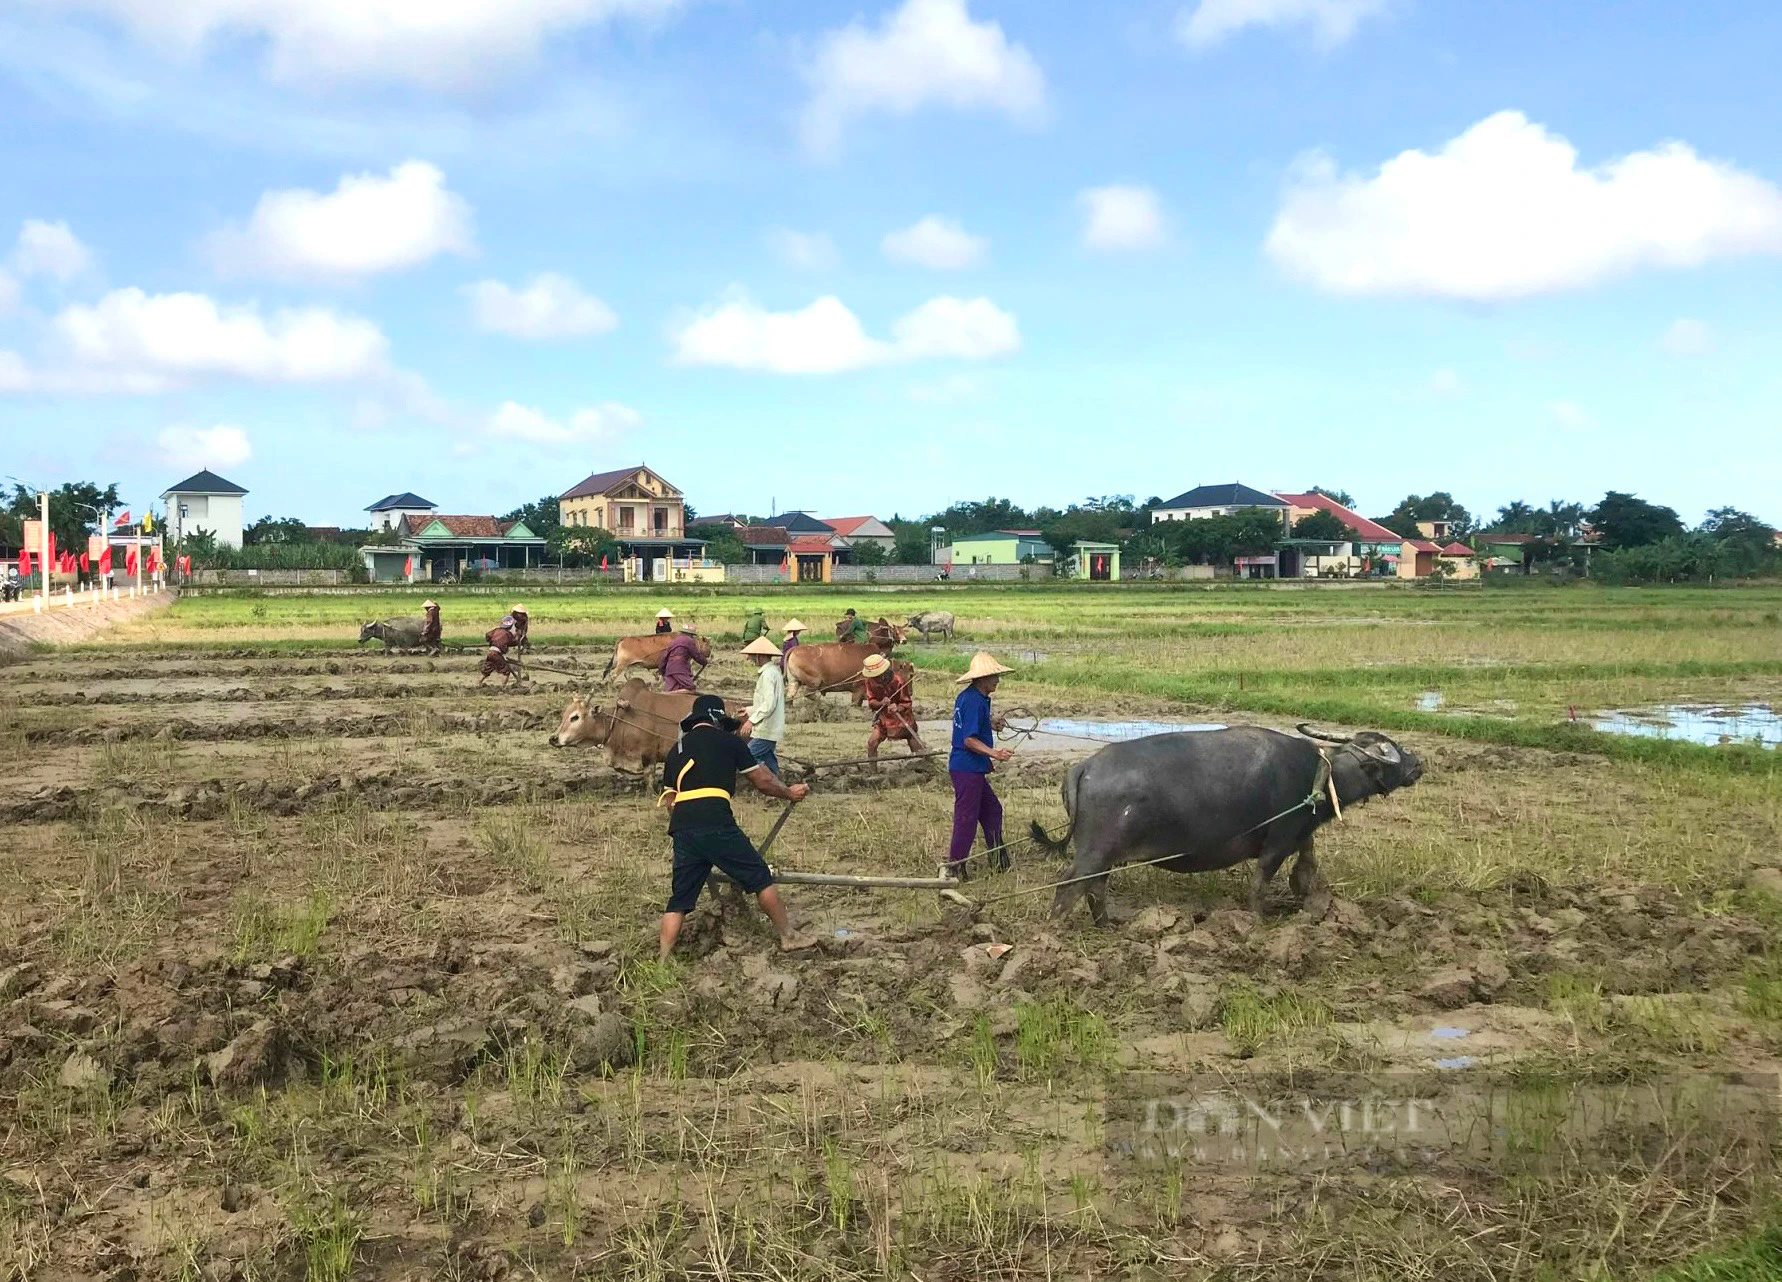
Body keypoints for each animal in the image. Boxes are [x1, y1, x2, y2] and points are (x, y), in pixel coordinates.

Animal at [538, 681, 741, 773]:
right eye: (564, 715)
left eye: (575, 717)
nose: (553, 738)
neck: (620, 721)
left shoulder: (648, 754)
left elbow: (648, 776)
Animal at [1033, 720, 1418, 920]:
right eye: (1392, 751)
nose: (1418, 763)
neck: (1318, 775)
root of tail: (1085, 766)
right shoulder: (1278, 841)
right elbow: (1260, 883)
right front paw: (1258, 920)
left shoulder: (1300, 832)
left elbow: (1307, 866)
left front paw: (1309, 901)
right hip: (1094, 851)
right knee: (1070, 887)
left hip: (1106, 855)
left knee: (1095, 887)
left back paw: (1107, 924)